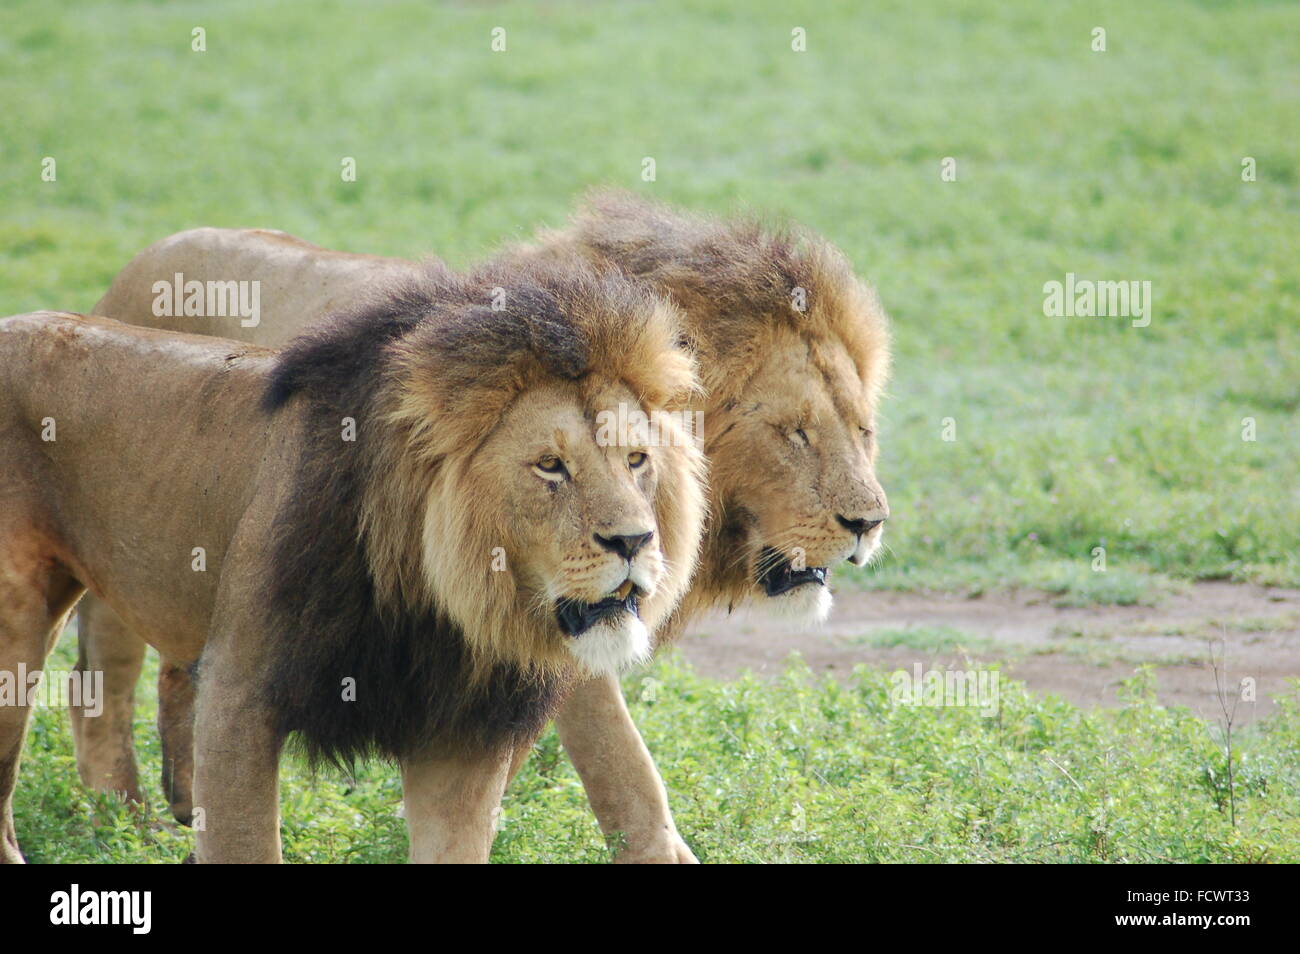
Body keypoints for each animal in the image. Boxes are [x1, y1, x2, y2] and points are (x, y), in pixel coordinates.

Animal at [0, 257, 707, 863]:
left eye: (637, 460)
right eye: (551, 466)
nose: (635, 542)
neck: (430, 595)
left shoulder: (460, 736)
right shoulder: (240, 696)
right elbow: (245, 842)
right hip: (17, 633)